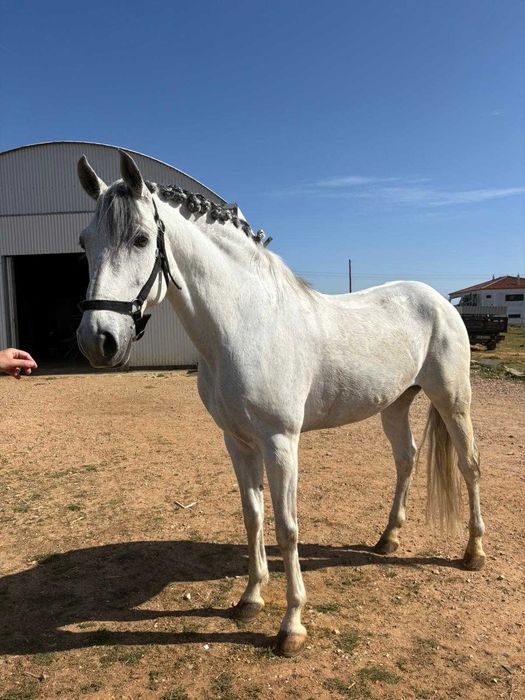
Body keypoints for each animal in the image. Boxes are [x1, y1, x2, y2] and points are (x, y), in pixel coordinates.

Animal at [76, 151, 485, 657]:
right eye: (84, 242)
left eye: (140, 238)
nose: (98, 341)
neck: (247, 324)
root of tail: (439, 299)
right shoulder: (237, 441)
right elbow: (253, 517)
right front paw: (250, 599)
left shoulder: (280, 442)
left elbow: (288, 528)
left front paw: (292, 626)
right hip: (395, 404)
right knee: (406, 459)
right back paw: (387, 539)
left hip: (453, 400)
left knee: (469, 464)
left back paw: (473, 552)